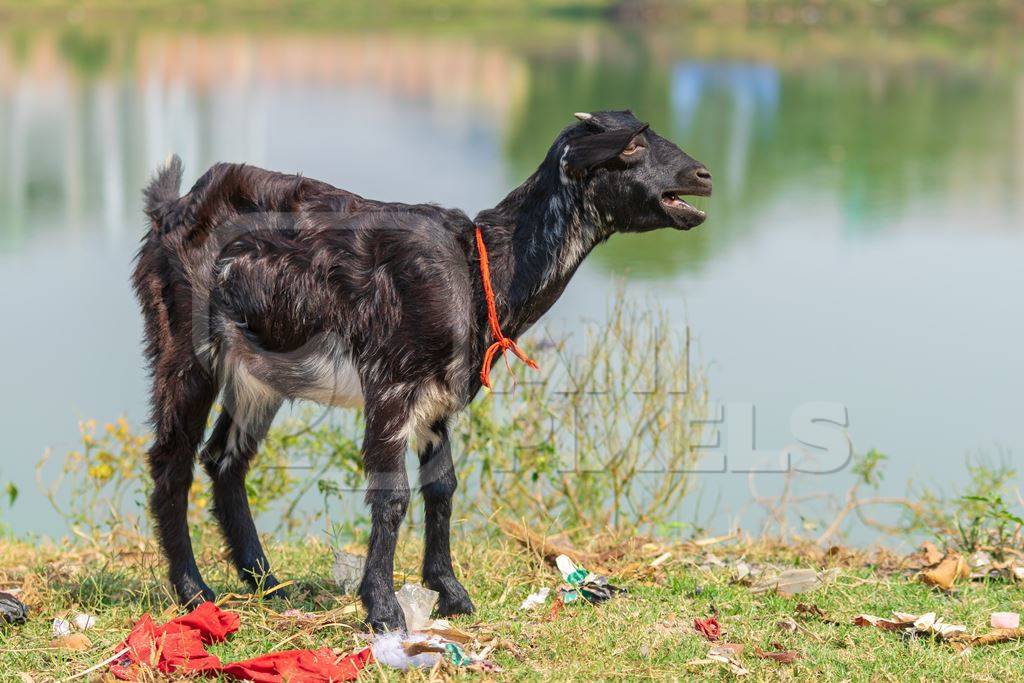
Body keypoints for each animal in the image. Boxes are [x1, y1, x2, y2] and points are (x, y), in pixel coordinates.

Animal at [132, 108, 712, 630]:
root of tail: (169, 208)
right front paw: (383, 609)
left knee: (225, 459)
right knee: (171, 461)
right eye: (631, 146)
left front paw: (450, 591)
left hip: (258, 371)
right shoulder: (392, 383)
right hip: (185, 345)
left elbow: (443, 486)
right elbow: (393, 495)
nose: (703, 175)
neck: (481, 271)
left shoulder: (438, 398)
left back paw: (268, 583)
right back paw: (194, 591)